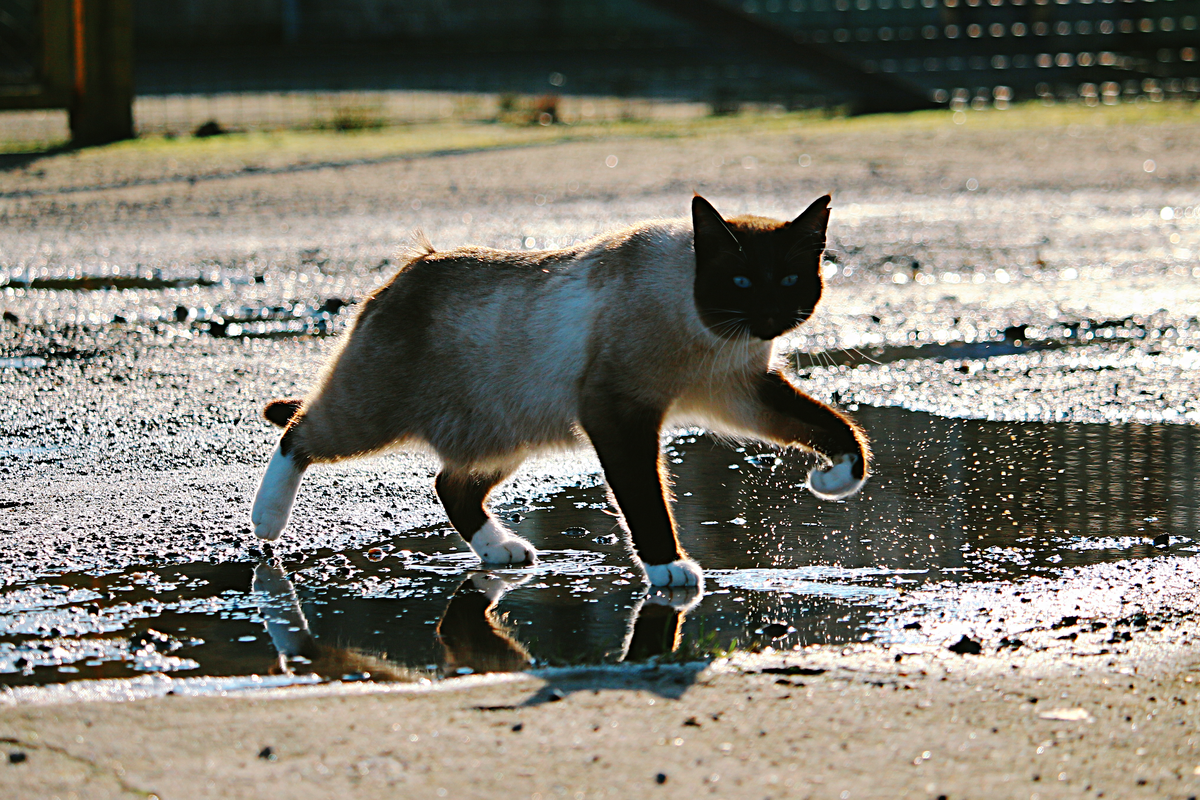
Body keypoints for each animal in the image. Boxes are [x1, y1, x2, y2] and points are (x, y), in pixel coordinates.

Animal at [253, 194, 873, 587]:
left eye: (789, 280)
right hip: (371, 417)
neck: (712, 337)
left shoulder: (739, 393)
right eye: (741, 282)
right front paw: (669, 568)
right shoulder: (617, 414)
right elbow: (646, 501)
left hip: (504, 436)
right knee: (296, 435)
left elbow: (839, 432)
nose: (768, 318)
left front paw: (831, 481)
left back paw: (501, 550)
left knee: (449, 485)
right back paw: (266, 523)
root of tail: (413, 263)